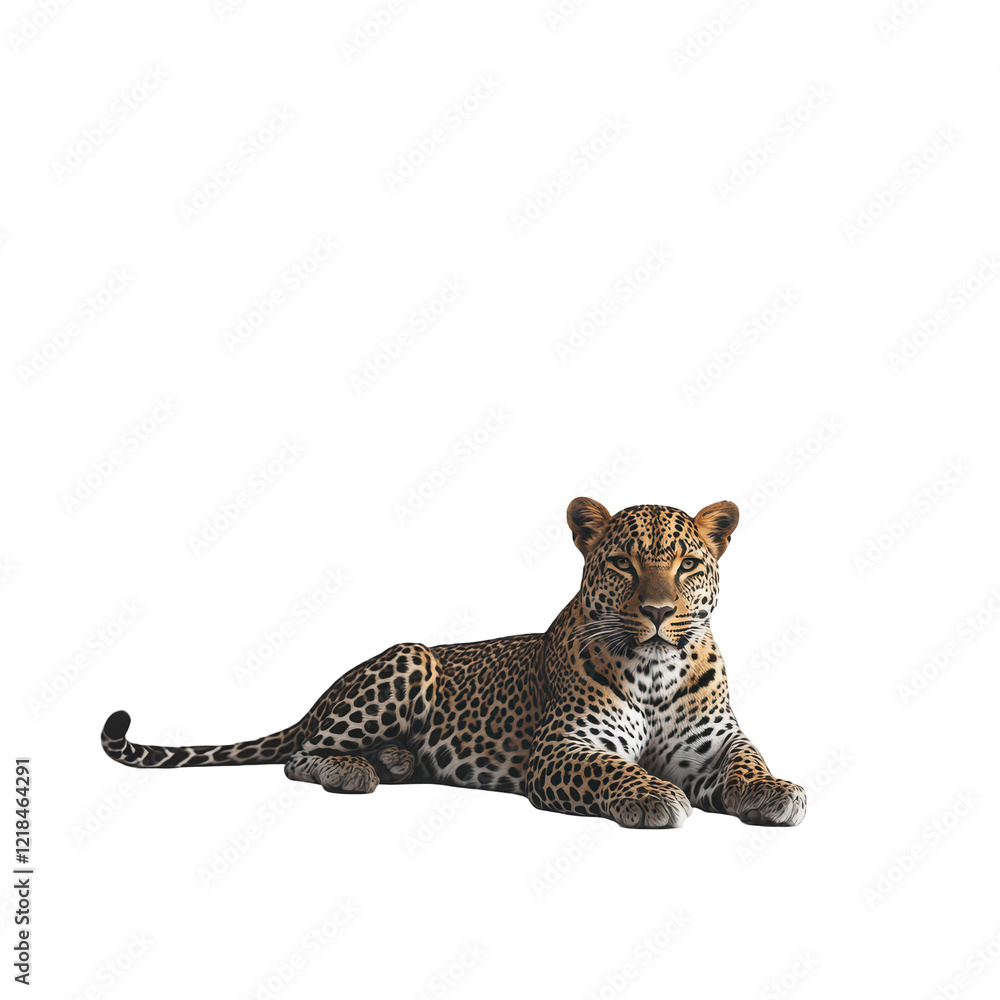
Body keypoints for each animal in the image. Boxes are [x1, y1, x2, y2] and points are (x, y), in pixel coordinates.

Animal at [101, 498, 806, 829]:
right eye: (622, 564)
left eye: (687, 565)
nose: (659, 612)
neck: (656, 673)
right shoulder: (563, 750)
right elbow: (617, 771)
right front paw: (656, 796)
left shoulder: (714, 746)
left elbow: (748, 759)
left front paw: (776, 791)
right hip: (408, 659)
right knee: (298, 756)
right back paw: (356, 770)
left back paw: (395, 760)